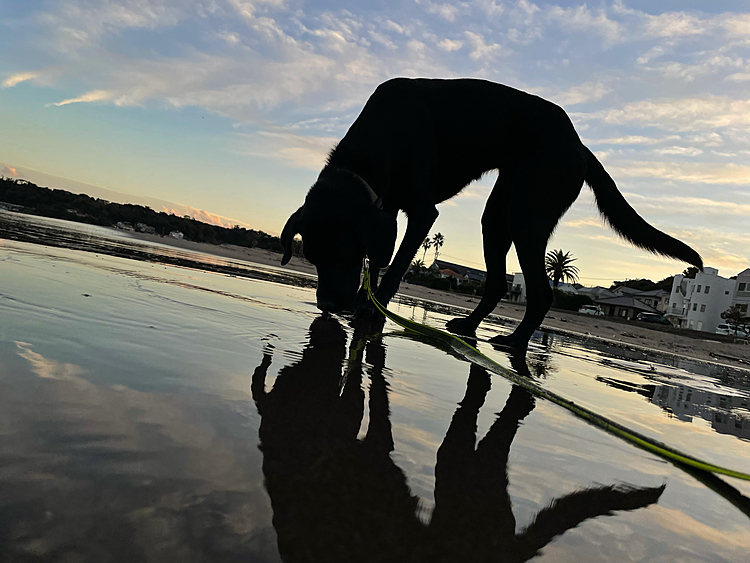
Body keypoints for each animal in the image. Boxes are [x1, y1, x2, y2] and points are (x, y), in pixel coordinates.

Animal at [284, 77, 704, 346]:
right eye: (312, 257)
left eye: (343, 254)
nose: (326, 306)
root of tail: (581, 149)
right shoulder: (385, 210)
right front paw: (363, 303)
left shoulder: (421, 213)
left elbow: (396, 266)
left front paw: (371, 310)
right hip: (498, 215)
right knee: (499, 282)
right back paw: (469, 327)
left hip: (527, 213)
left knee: (541, 292)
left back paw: (514, 342)